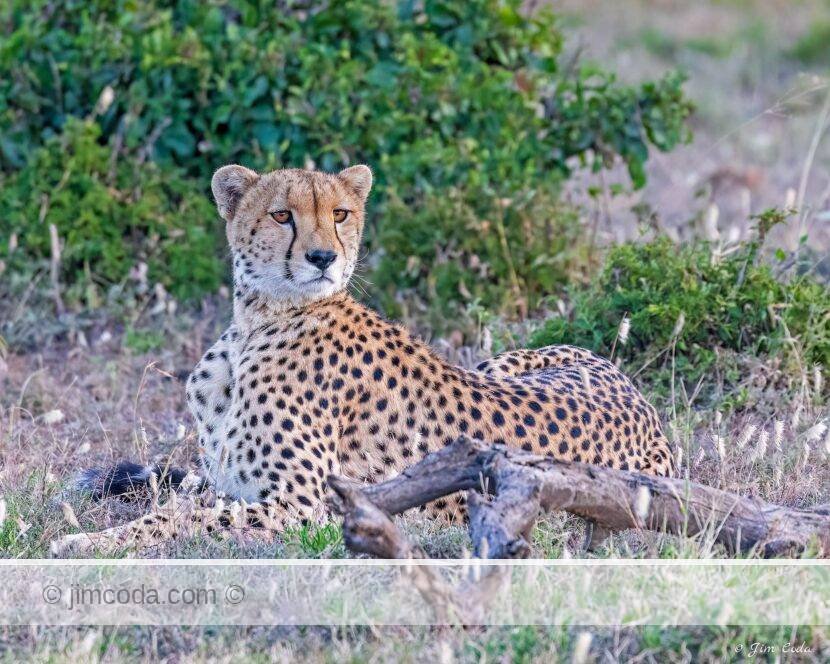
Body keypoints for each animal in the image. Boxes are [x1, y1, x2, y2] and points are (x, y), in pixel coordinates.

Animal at [50, 163, 674, 556]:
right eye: (282, 215)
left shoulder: (304, 507)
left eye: (342, 214)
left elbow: (183, 519)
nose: (322, 257)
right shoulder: (233, 483)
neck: (260, 319)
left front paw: (86, 542)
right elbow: (183, 501)